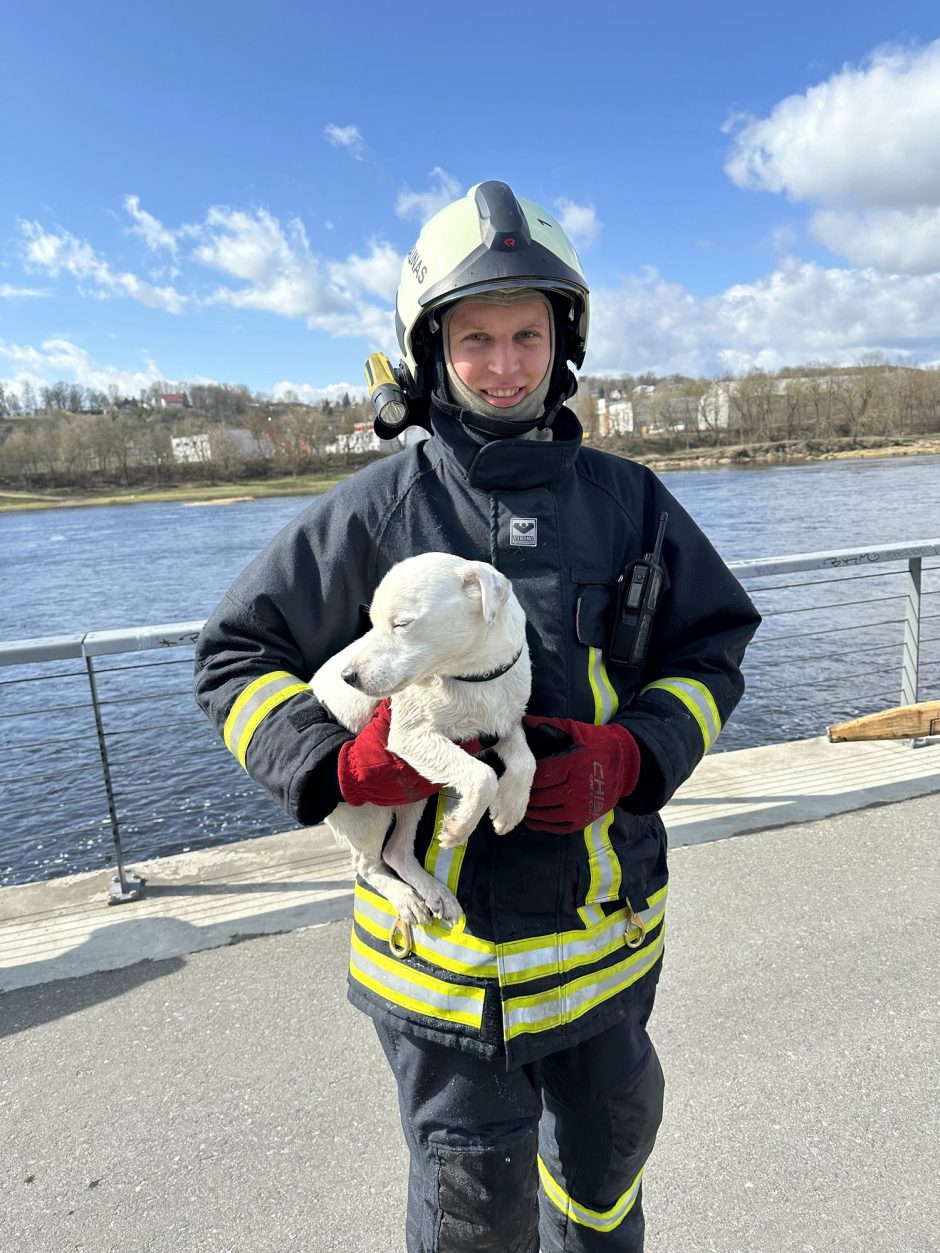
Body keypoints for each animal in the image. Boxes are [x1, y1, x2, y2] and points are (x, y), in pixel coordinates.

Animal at [313, 553, 536, 927]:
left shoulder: (503, 723)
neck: (470, 679)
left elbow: (525, 761)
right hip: (367, 810)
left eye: (402, 624)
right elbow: (482, 775)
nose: (348, 676)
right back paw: (406, 898)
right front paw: (460, 827)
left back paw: (435, 894)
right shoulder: (409, 735)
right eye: (370, 623)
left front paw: (509, 809)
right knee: (367, 864)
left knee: (397, 851)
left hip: (412, 793)